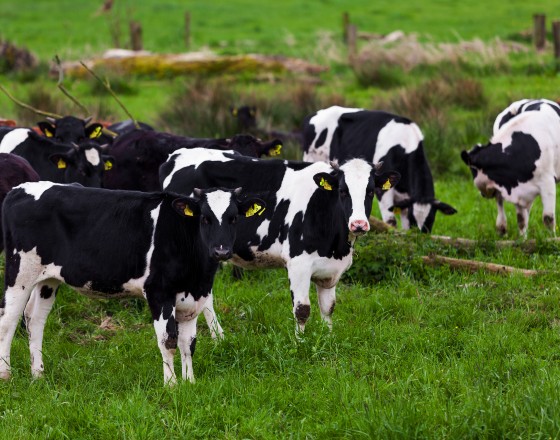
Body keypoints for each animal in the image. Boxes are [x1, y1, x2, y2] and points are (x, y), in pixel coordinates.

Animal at [0, 182, 266, 384]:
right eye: (205, 218)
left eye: (233, 218)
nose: (221, 251)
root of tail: (19, 189)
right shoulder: (159, 293)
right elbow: (168, 341)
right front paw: (171, 385)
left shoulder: (194, 299)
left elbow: (188, 344)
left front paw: (190, 383)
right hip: (19, 272)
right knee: (8, 321)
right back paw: (6, 376)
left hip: (48, 278)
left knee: (35, 319)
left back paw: (38, 375)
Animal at [160, 148, 400, 334]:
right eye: (342, 191)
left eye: (371, 191)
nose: (359, 224)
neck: (337, 245)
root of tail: (176, 155)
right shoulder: (298, 264)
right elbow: (302, 310)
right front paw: (300, 343)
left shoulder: (330, 269)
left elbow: (328, 307)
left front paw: (328, 338)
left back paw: (219, 338)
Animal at [302, 105, 456, 234]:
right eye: (414, 219)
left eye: (431, 219)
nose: (420, 236)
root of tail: (314, 114)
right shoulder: (383, 191)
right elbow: (391, 221)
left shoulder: (406, 197)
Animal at [460, 105, 560, 235]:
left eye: (472, 171)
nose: (482, 194)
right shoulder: (514, 185)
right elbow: (521, 219)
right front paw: (522, 239)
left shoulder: (547, 181)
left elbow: (548, 217)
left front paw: (551, 238)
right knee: (501, 201)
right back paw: (502, 228)